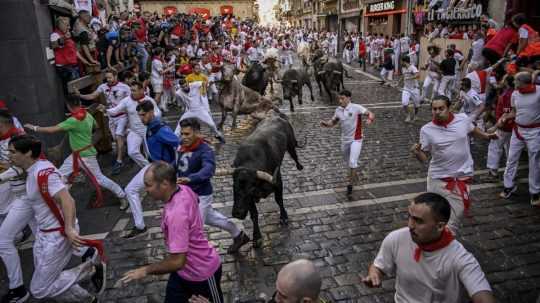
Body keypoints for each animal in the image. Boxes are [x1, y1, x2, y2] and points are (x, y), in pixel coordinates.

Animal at [217, 113, 306, 248]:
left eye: (250, 189)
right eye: (234, 186)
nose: (237, 213)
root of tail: (277, 116)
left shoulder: (278, 182)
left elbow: (279, 200)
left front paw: (284, 217)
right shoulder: (250, 201)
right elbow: (254, 215)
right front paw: (257, 237)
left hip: (290, 144)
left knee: (294, 154)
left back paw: (299, 166)